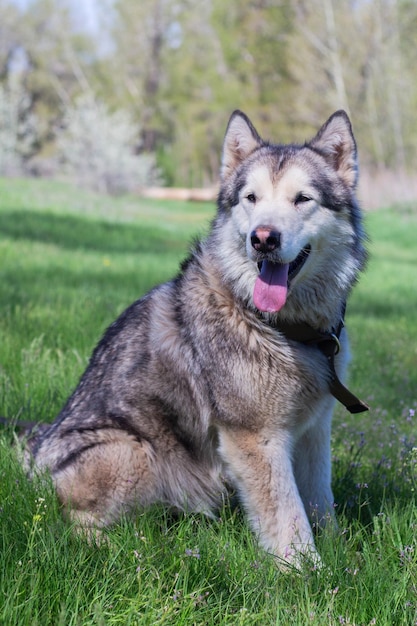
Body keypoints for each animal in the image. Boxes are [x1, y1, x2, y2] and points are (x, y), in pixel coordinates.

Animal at [21, 109, 366, 568]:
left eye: (302, 199)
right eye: (251, 198)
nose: (263, 238)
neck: (278, 326)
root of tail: (36, 457)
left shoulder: (314, 430)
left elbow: (320, 503)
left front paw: (340, 556)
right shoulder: (256, 438)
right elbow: (289, 517)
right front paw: (308, 574)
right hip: (136, 453)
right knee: (74, 525)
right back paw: (127, 551)